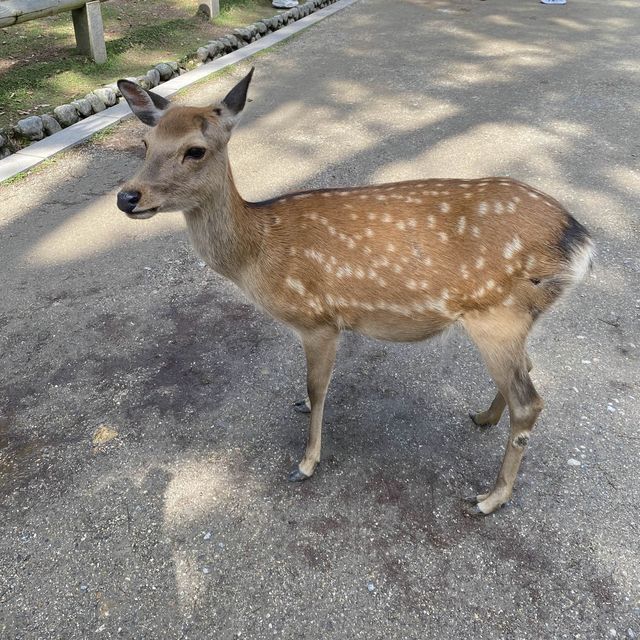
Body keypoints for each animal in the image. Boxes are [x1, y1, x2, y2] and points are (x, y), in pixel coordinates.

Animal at [115, 69, 596, 516]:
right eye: (145, 142)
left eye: (195, 149)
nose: (127, 197)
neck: (260, 252)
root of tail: (581, 243)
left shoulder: (318, 319)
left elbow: (317, 388)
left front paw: (306, 463)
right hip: (517, 317)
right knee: (526, 372)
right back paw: (483, 417)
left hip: (498, 314)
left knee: (529, 402)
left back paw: (491, 497)